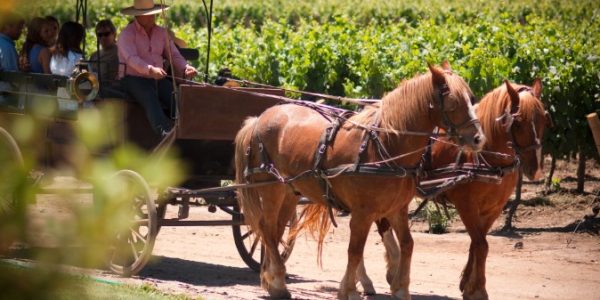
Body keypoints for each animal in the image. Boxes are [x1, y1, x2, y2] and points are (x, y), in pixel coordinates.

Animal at [232, 62, 486, 298]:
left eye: (472, 98)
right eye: (452, 103)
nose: (478, 139)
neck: (384, 146)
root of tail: (259, 119)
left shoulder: (397, 209)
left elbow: (407, 244)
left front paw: (400, 289)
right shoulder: (362, 213)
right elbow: (355, 251)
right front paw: (348, 290)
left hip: (290, 192)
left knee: (275, 231)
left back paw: (272, 280)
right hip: (270, 188)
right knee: (266, 228)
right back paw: (277, 282)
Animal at [356, 78, 552, 298]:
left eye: (544, 120)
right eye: (517, 123)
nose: (535, 170)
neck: (484, 155)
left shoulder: (493, 208)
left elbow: (477, 243)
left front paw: (467, 284)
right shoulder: (465, 204)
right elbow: (481, 245)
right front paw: (479, 290)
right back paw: (371, 278)